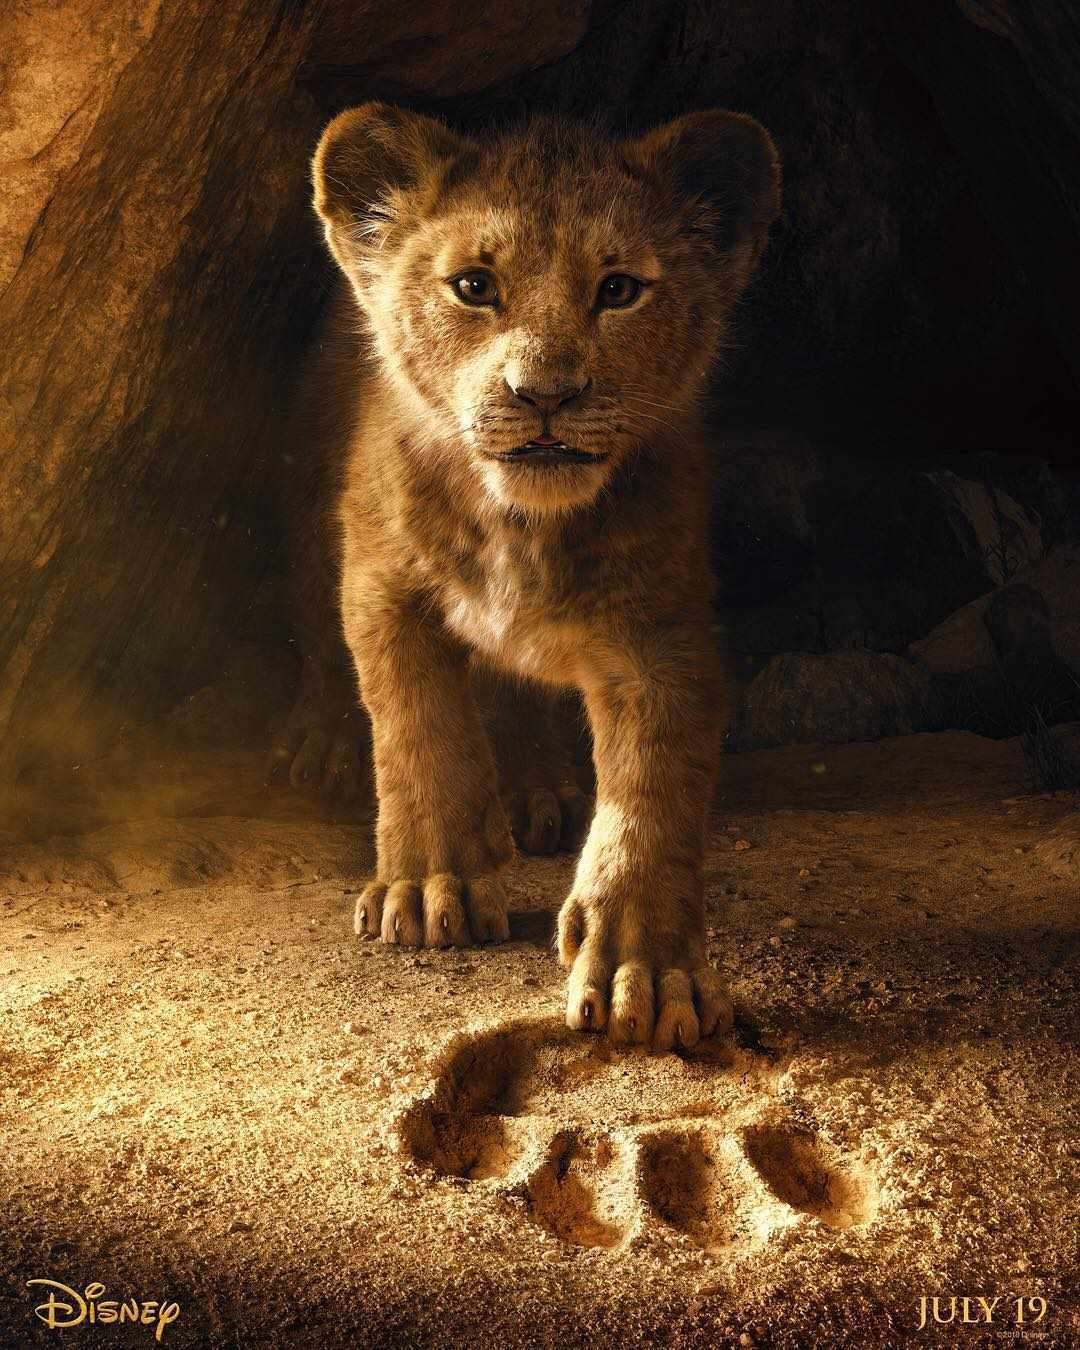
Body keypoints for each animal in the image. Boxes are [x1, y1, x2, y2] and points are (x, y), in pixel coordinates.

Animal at [273, 102, 780, 1051]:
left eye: (618, 290)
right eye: (474, 286)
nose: (545, 393)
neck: (522, 524)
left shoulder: (662, 633)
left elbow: (652, 793)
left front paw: (645, 970)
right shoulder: (384, 587)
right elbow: (418, 731)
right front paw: (428, 888)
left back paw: (535, 789)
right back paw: (325, 744)